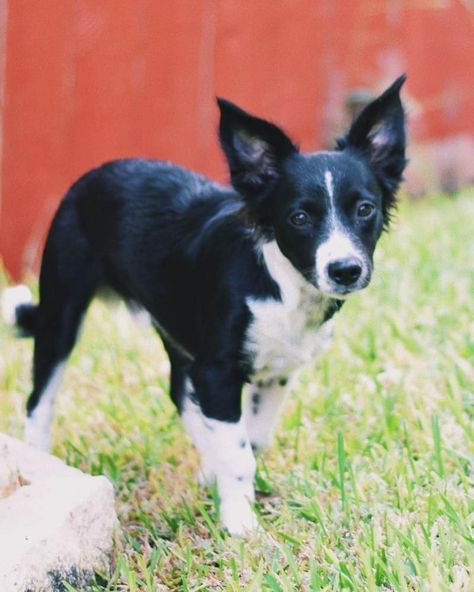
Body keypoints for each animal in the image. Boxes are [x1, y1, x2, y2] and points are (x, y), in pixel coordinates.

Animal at [1, 76, 406, 536]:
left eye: (365, 210)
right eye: (299, 218)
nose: (345, 270)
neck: (282, 284)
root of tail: (94, 174)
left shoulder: (274, 370)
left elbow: (252, 440)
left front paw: (228, 488)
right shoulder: (217, 370)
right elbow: (238, 453)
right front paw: (240, 524)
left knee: (179, 390)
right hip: (61, 312)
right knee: (40, 400)